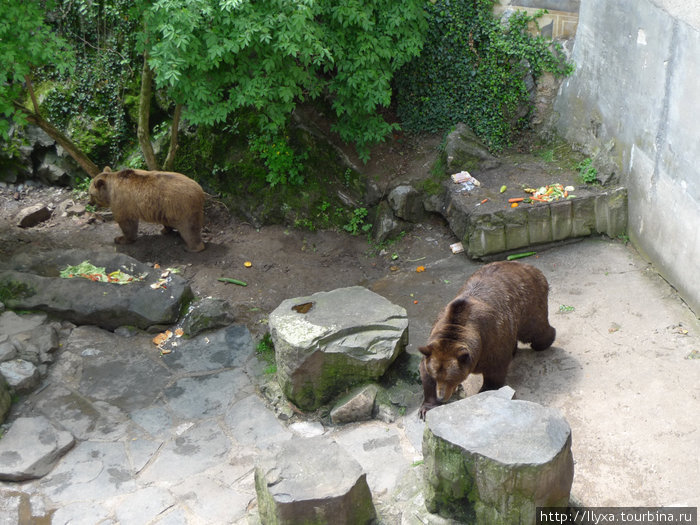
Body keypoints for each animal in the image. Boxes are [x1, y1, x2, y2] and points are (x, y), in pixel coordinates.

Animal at [416, 260, 556, 418]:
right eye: (436, 377)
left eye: (451, 379)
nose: (441, 397)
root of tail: (525, 265)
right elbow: (424, 372)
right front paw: (427, 407)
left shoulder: (490, 339)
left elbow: (494, 371)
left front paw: (485, 392)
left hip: (528, 305)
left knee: (535, 329)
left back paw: (545, 341)